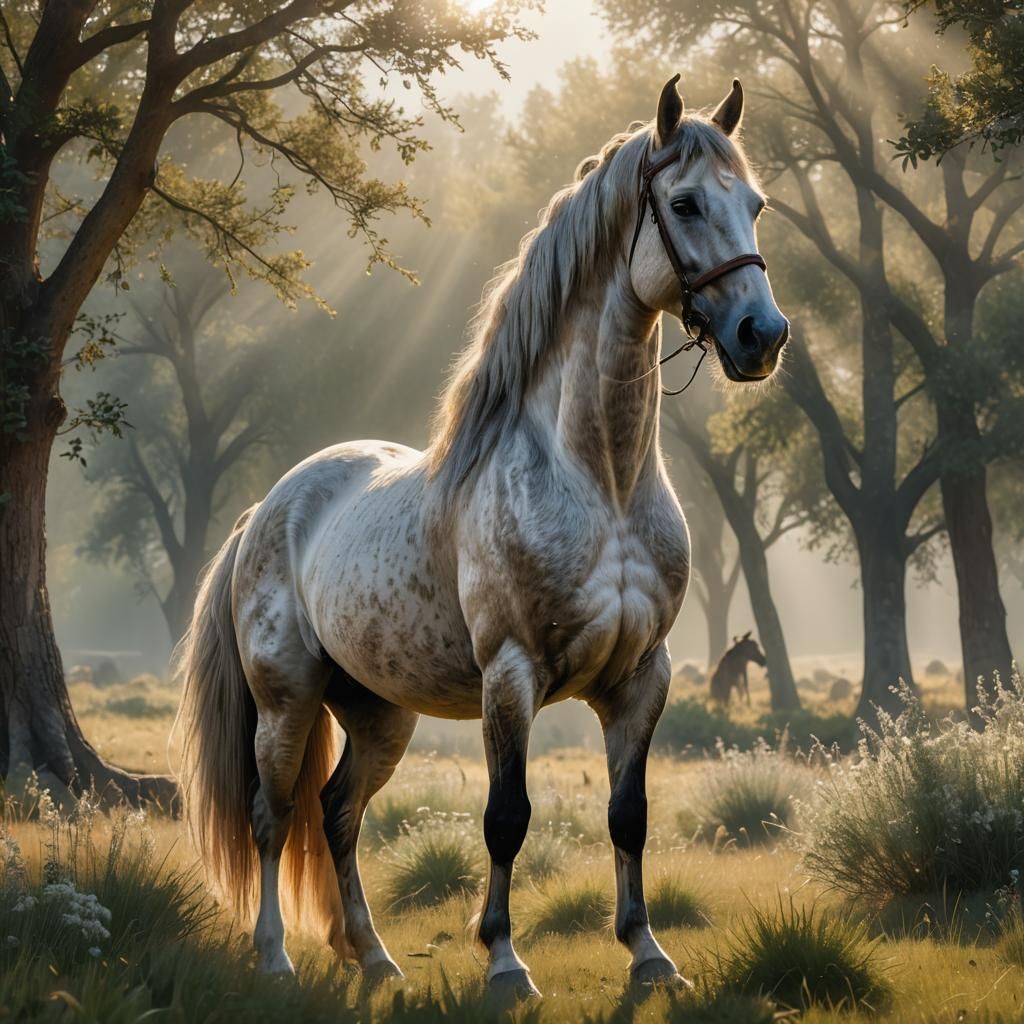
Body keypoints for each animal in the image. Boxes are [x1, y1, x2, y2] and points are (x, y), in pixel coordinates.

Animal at [177, 73, 789, 998]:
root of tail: (266, 510)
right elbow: (508, 817)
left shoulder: (641, 679)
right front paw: (504, 961)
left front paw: (649, 954)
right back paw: (276, 958)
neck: (600, 480)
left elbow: (630, 816)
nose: (763, 336)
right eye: (683, 203)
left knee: (339, 814)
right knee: (274, 816)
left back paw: (377, 957)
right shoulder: (512, 676)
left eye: (754, 205)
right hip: (287, 702)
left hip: (380, 714)